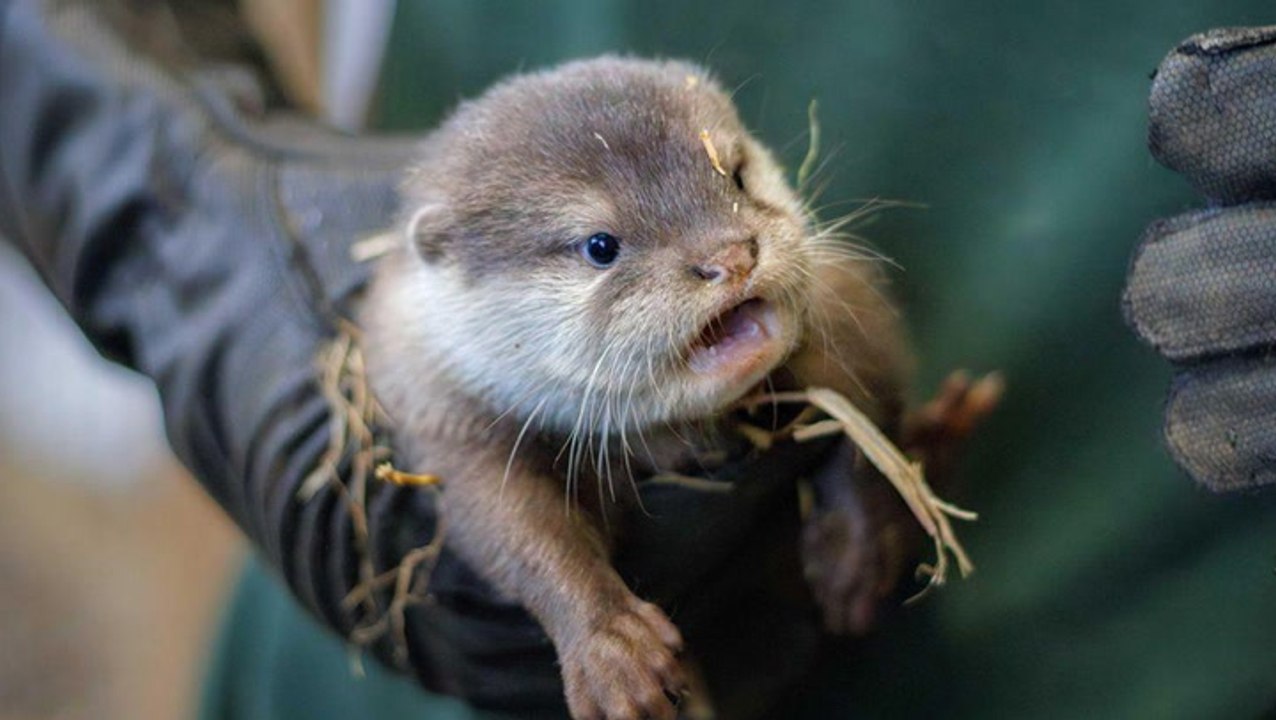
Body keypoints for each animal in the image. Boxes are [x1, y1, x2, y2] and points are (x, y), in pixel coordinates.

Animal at [362, 56, 988, 720]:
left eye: (735, 175)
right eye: (600, 246)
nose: (732, 255)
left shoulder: (851, 319)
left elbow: (865, 427)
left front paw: (855, 551)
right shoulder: (445, 418)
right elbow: (517, 527)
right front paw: (611, 649)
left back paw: (946, 432)